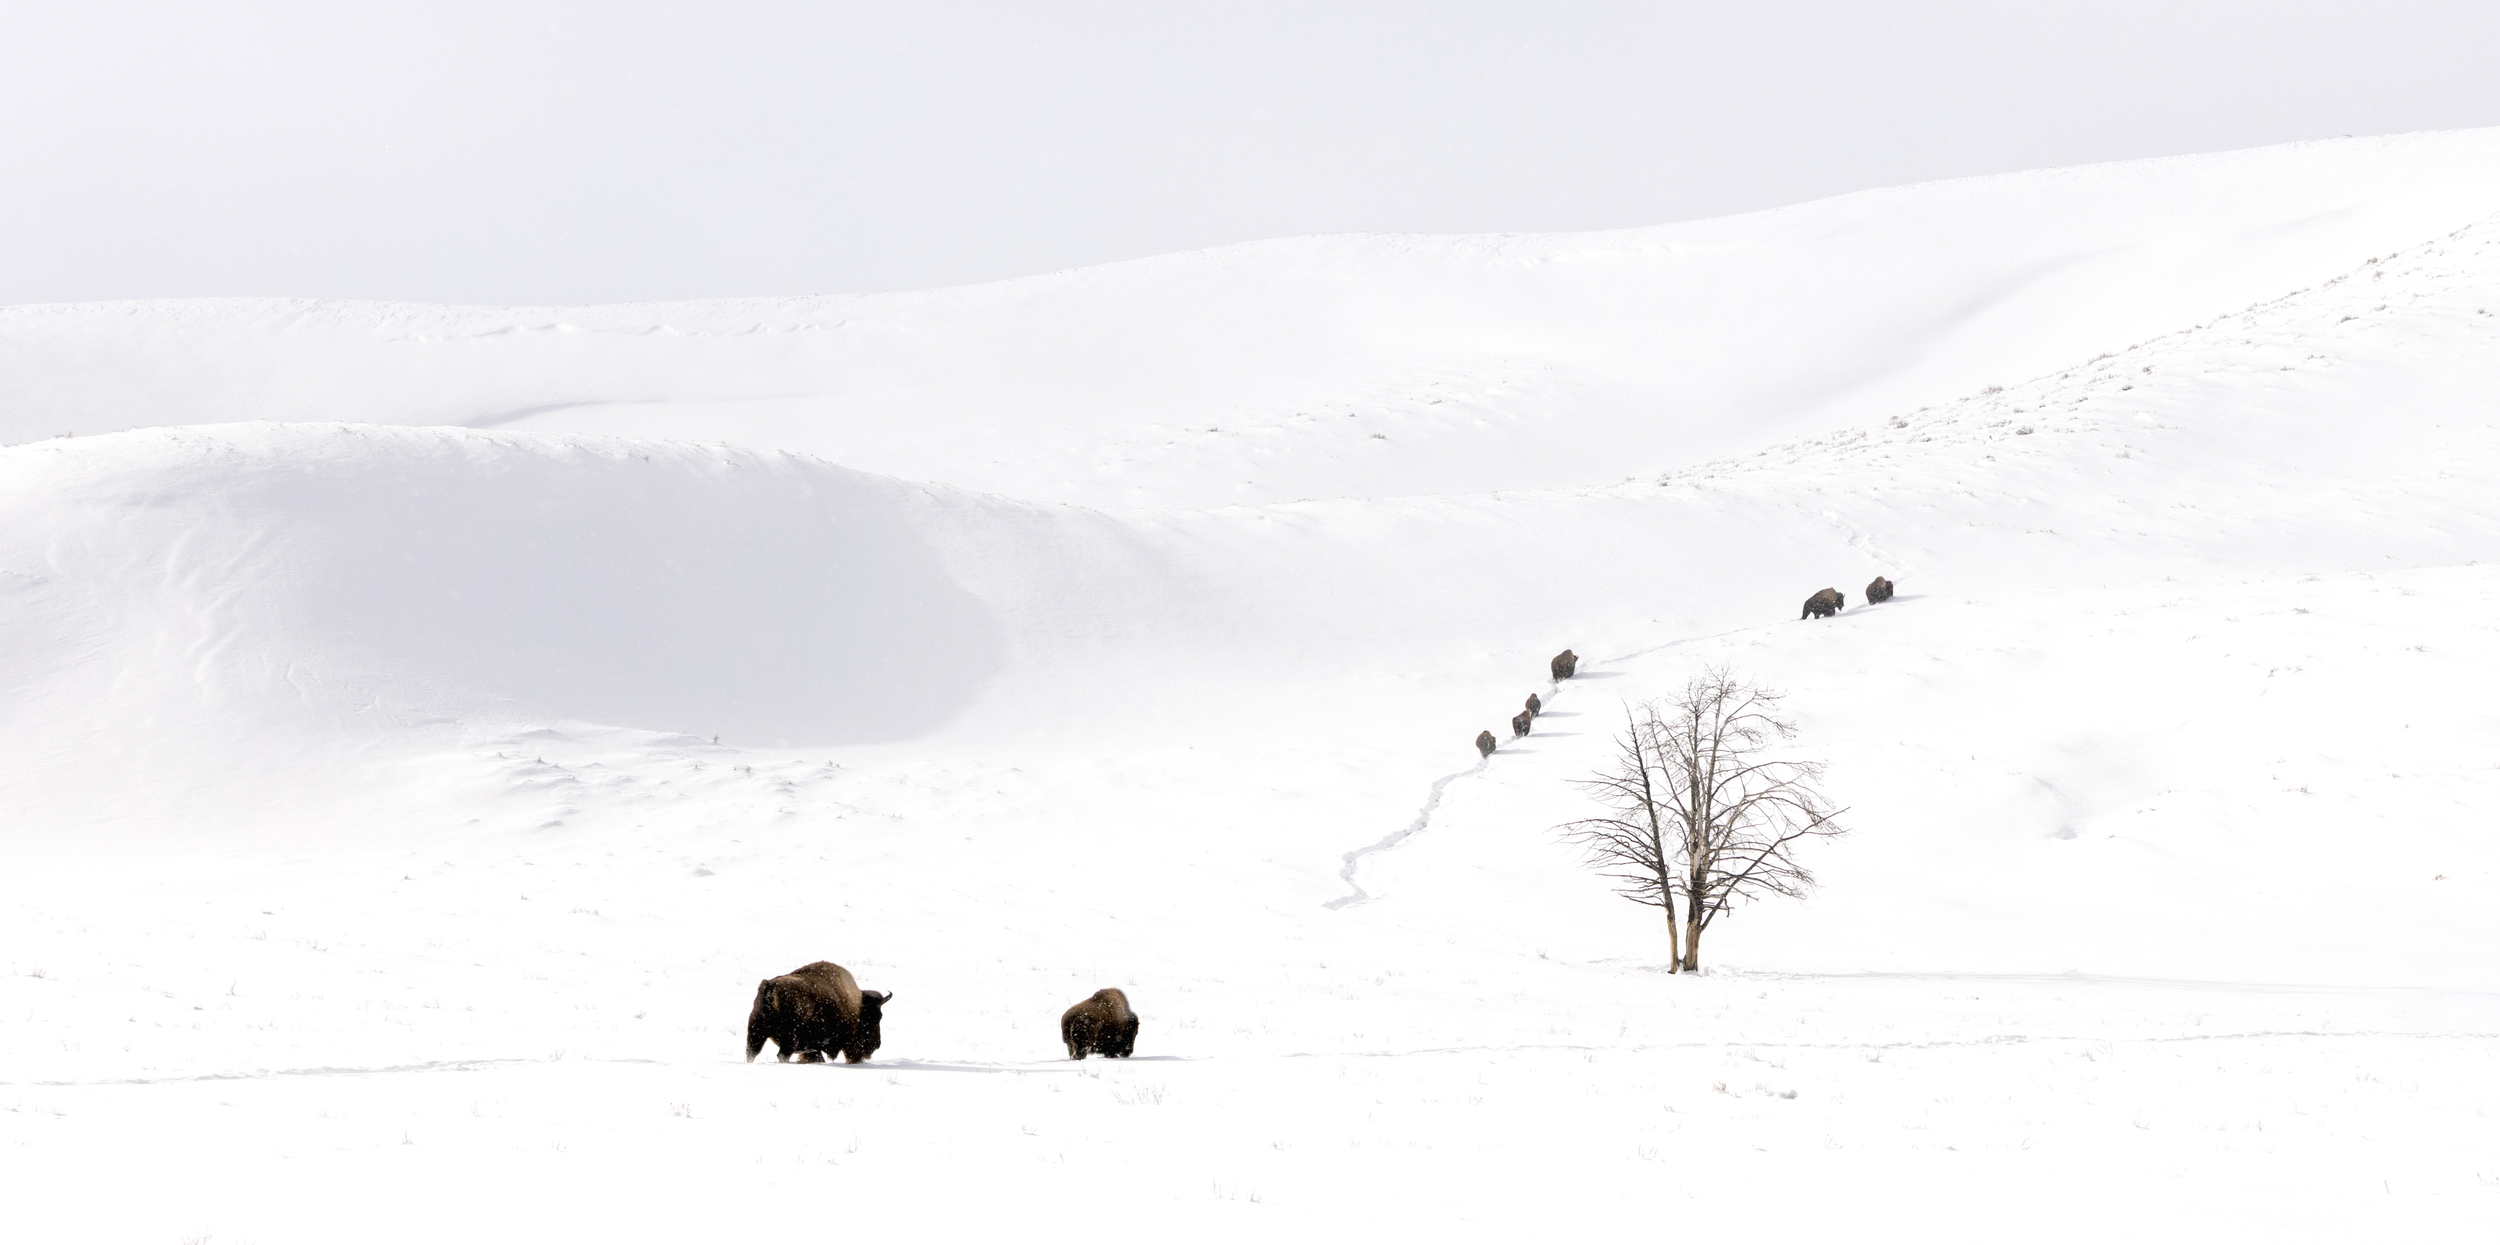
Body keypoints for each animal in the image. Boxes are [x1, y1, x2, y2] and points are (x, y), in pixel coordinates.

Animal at [745, 961, 891, 1064]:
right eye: (876, 1017)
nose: (877, 1045)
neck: (857, 1006)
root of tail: (770, 986)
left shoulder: (812, 1048)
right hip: (789, 1038)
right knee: (782, 1055)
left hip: (757, 1031)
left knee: (751, 1052)